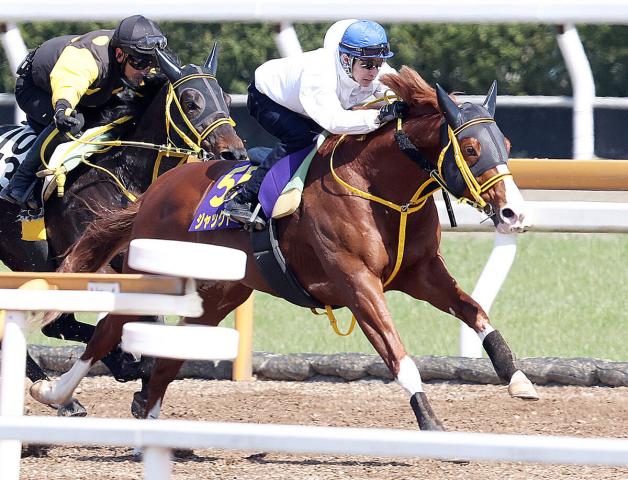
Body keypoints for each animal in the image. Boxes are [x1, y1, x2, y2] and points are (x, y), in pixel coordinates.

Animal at [0, 46, 245, 412]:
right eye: (191, 101)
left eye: (227, 99)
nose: (234, 152)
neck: (125, 172)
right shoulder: (92, 258)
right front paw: (131, 365)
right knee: (58, 323)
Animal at [31, 67, 536, 432]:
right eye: (470, 149)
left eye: (506, 143)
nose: (513, 212)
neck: (380, 187)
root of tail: (155, 190)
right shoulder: (357, 282)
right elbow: (396, 352)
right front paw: (430, 421)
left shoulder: (421, 272)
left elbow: (476, 313)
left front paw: (519, 380)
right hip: (157, 272)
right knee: (108, 328)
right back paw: (56, 395)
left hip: (221, 292)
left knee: (173, 350)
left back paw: (148, 414)